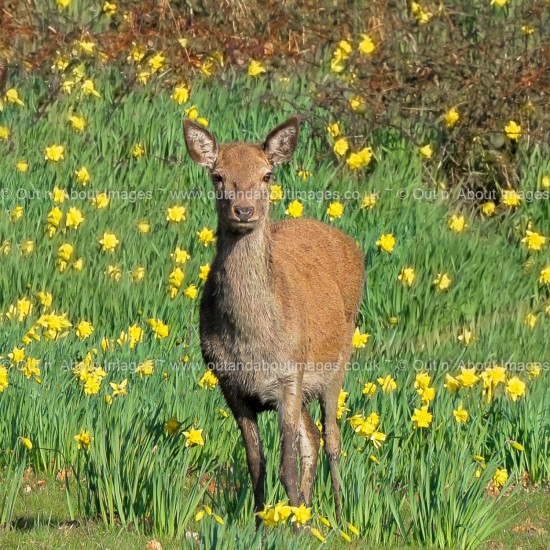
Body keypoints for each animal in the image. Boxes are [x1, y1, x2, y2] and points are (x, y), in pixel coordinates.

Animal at [184, 114, 366, 528]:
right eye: (217, 175)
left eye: (267, 174)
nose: (243, 210)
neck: (251, 341)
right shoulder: (231, 385)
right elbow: (257, 462)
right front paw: (260, 523)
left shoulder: (288, 377)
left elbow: (287, 466)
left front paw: (290, 528)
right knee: (312, 436)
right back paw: (306, 512)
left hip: (337, 364)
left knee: (333, 438)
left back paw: (339, 515)